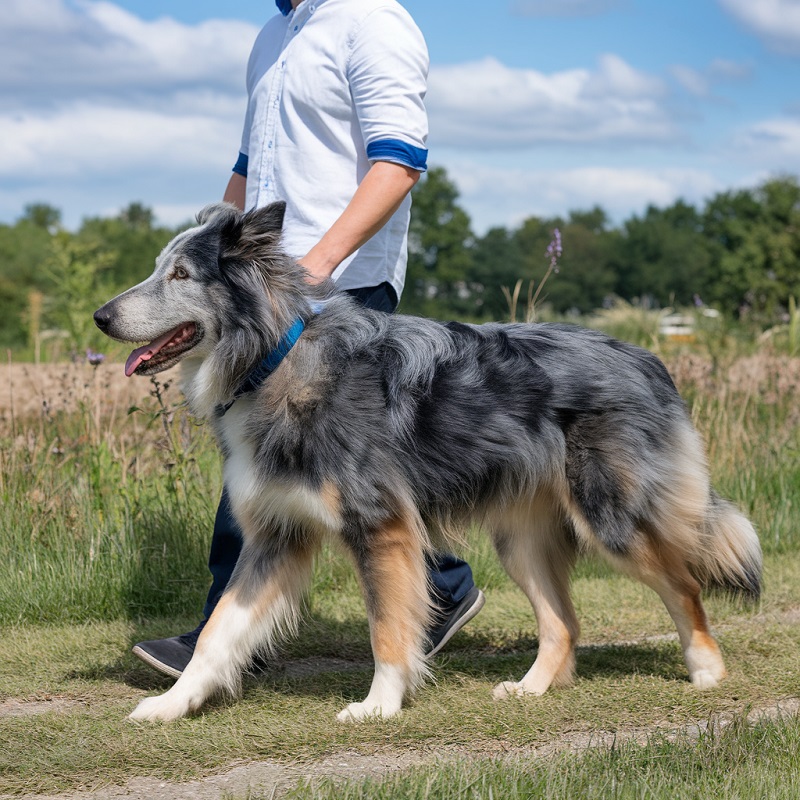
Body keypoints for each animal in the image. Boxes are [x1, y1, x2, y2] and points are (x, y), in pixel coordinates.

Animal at [94, 202, 764, 724]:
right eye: (159, 267)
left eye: (181, 273)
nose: (101, 316)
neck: (274, 358)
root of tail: (645, 357)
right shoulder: (276, 535)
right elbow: (218, 631)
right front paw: (173, 703)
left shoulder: (380, 527)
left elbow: (387, 628)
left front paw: (379, 705)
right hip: (520, 538)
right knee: (564, 623)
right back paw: (531, 689)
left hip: (613, 519)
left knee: (684, 582)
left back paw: (707, 670)